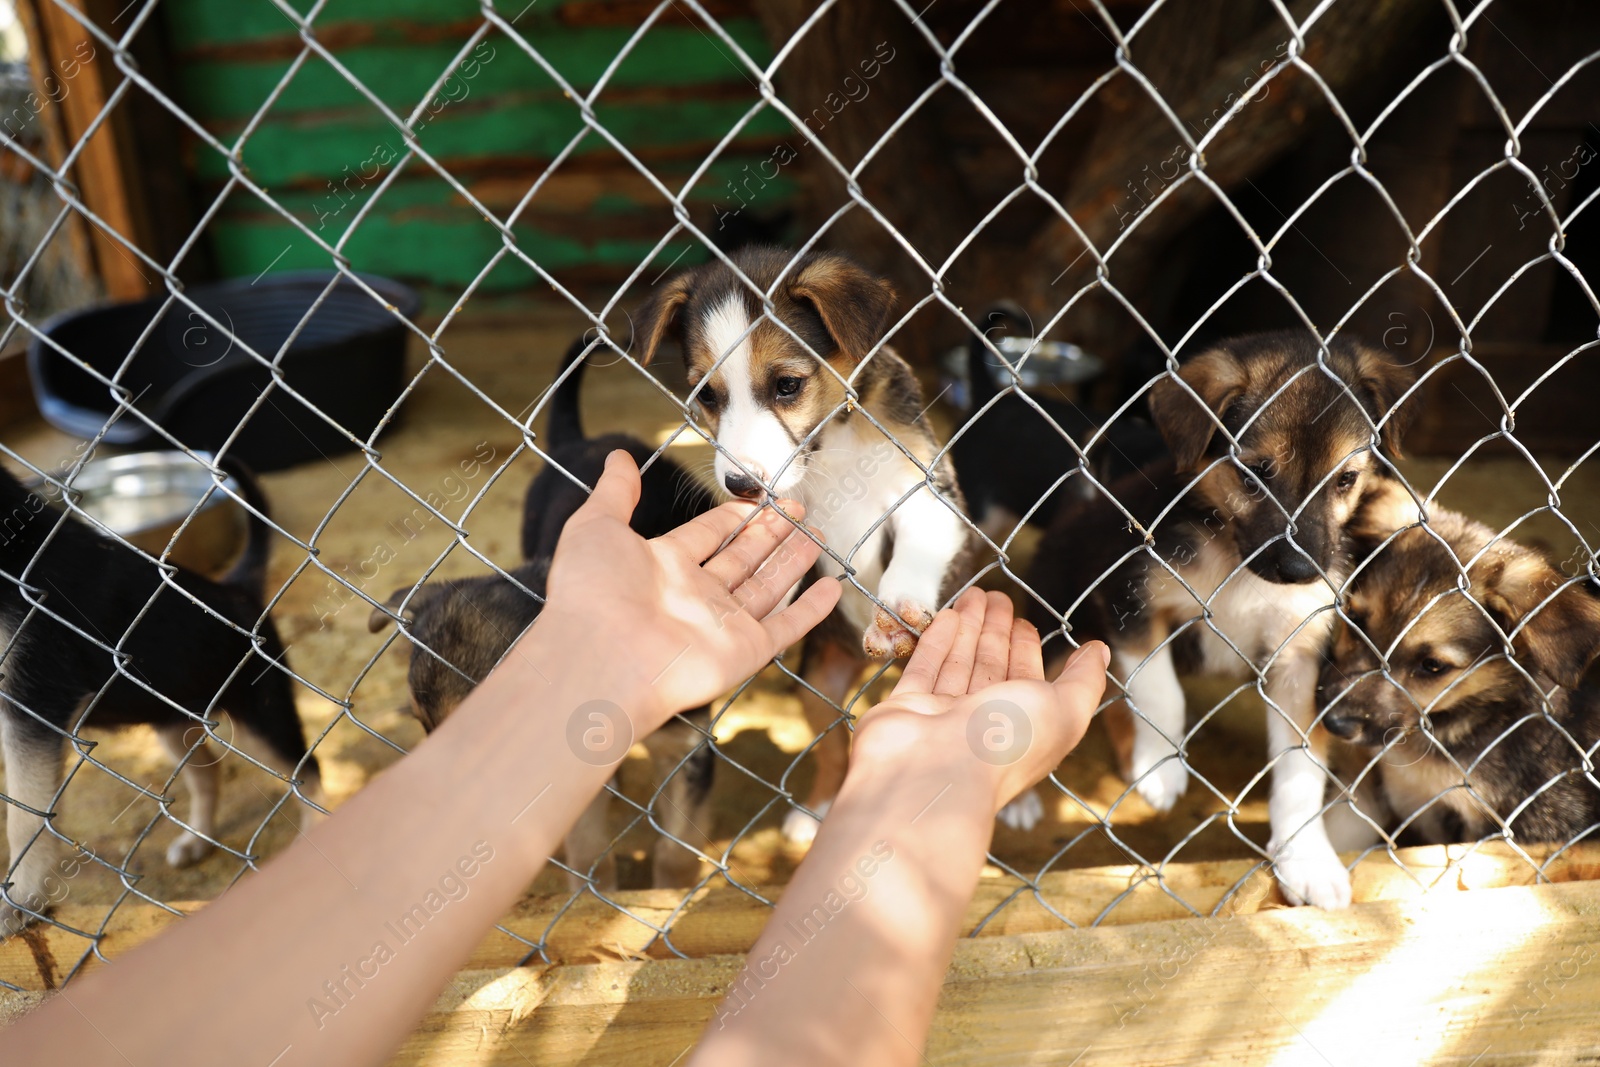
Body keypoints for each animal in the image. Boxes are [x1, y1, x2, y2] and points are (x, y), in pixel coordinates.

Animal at [0, 460, 318, 934]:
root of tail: (237, 590)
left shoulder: (36, 698)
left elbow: (26, 813)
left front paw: (20, 897)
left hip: (261, 714)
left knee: (307, 771)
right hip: (172, 722)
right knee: (209, 774)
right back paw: (197, 840)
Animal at [630, 246, 979, 838]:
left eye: (788, 386)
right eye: (707, 395)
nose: (741, 486)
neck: (830, 444)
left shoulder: (931, 492)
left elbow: (915, 547)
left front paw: (900, 608)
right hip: (820, 684)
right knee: (835, 750)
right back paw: (816, 812)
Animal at [1024, 329, 1414, 908]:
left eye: (1346, 479)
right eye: (1255, 473)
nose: (1301, 571)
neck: (1236, 558)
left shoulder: (1298, 658)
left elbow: (1302, 767)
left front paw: (1307, 857)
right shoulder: (1131, 604)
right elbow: (1161, 691)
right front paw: (1161, 769)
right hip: (1055, 633)